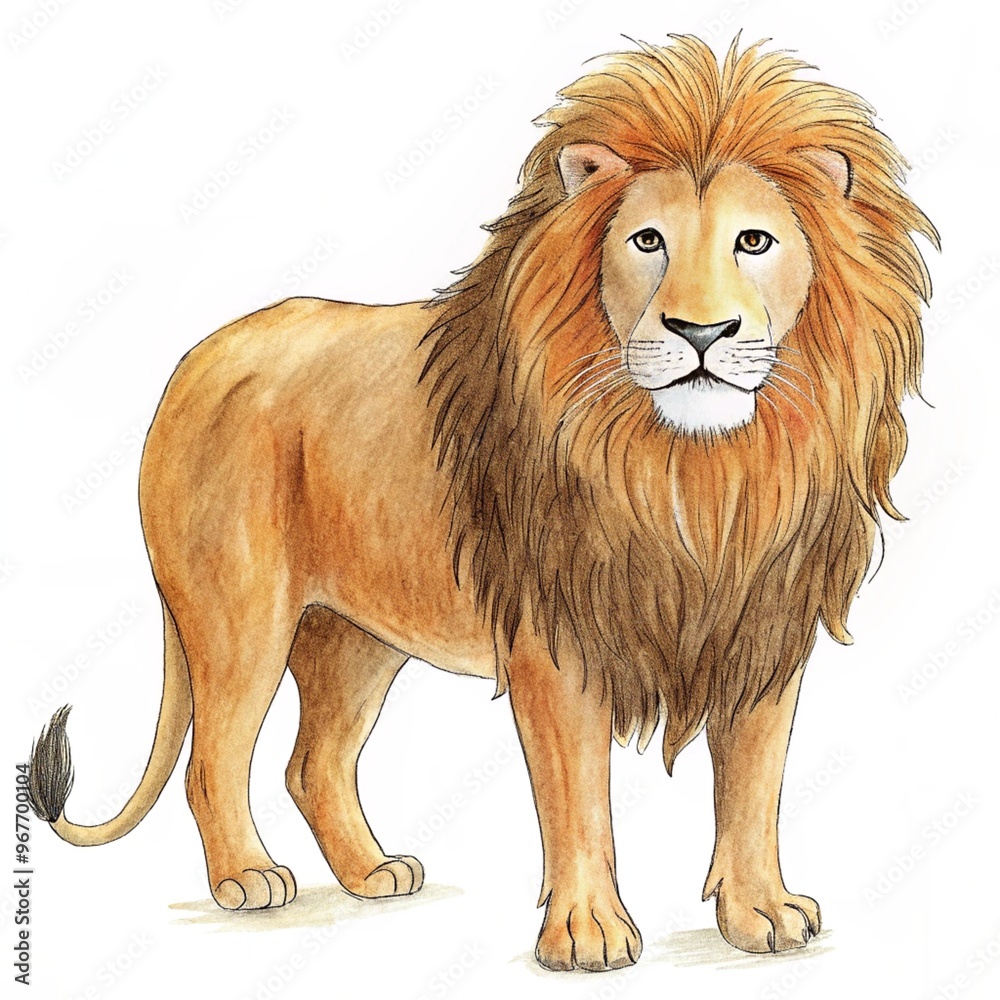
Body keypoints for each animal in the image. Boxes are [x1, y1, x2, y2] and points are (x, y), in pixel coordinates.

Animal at [28, 35, 937, 971]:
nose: (700, 333)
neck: (699, 471)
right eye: (647, 240)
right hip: (239, 615)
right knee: (213, 759)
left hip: (353, 634)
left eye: (754, 241)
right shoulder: (556, 637)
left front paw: (762, 915)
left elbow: (753, 787)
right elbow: (577, 798)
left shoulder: (763, 624)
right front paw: (587, 934)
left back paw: (372, 873)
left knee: (313, 764)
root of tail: (195, 361)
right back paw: (247, 878)